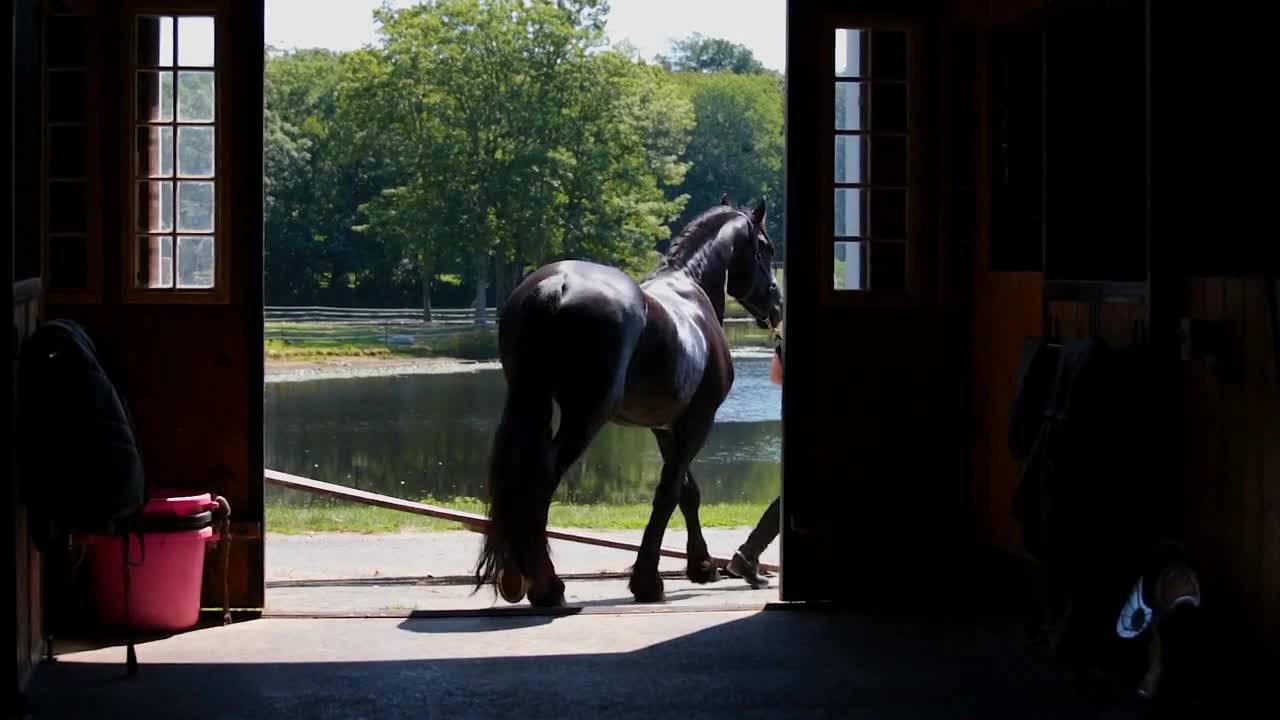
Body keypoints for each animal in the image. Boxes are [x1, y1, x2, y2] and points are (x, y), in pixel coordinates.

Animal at [476, 197, 783, 604]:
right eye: (766, 247)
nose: (776, 302)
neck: (690, 289)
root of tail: (555, 287)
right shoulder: (697, 421)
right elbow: (668, 492)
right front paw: (648, 581)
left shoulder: (664, 426)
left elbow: (688, 492)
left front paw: (701, 566)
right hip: (586, 416)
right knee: (540, 480)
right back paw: (547, 586)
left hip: (529, 400)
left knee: (514, 480)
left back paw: (515, 578)